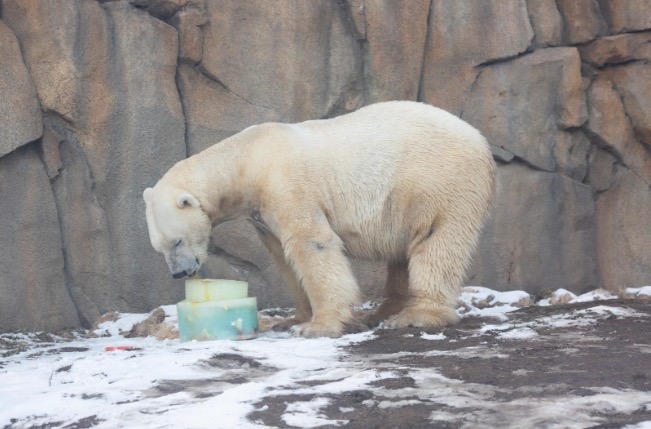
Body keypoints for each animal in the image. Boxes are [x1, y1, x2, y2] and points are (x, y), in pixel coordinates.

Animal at [145, 101, 496, 338]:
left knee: (436, 240)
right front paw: (294, 319)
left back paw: (416, 315)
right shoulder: (261, 212)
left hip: (437, 179)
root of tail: (481, 141)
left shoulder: (287, 183)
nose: (180, 273)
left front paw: (318, 325)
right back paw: (382, 312)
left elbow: (310, 243)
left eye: (177, 241)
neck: (247, 160)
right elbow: (284, 257)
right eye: (159, 248)